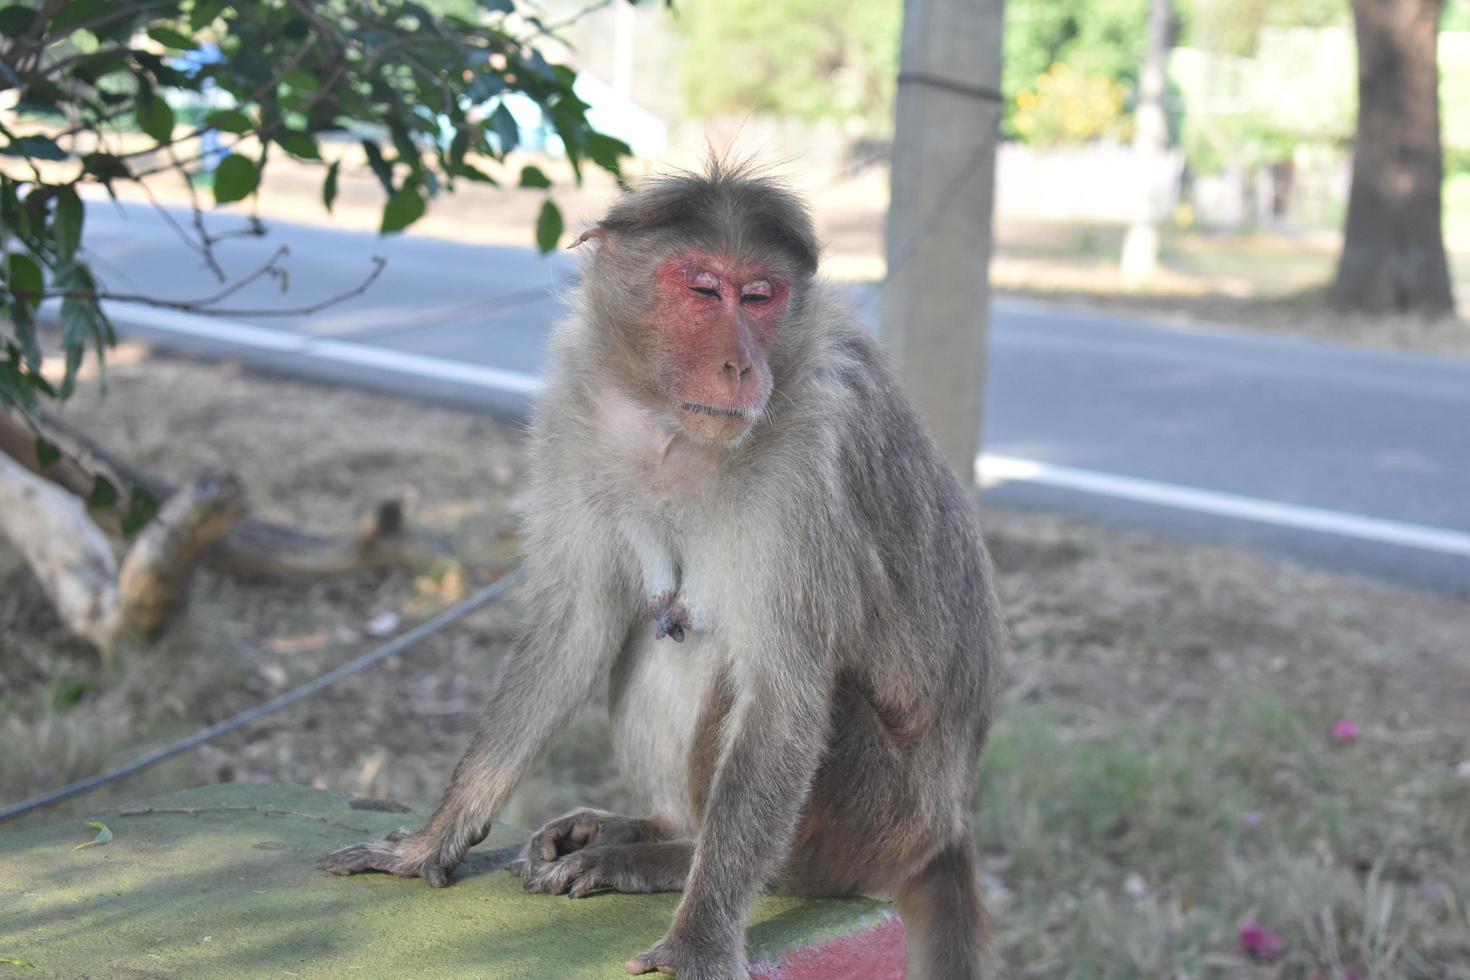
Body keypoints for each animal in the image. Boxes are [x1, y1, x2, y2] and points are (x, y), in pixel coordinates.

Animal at [321, 163, 1005, 980]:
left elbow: (784, 695)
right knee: (651, 634)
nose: (741, 365)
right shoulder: (573, 410)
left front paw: (699, 937)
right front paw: (435, 838)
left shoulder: (814, 457)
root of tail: (951, 821)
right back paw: (647, 829)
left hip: (880, 820)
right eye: (704, 289)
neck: (668, 425)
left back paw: (675, 860)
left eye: (761, 295)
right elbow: (577, 623)